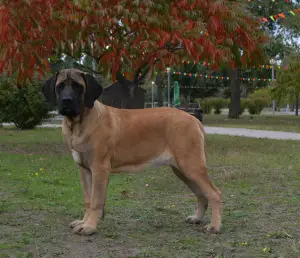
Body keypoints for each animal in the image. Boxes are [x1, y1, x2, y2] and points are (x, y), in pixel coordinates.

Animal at [41, 68, 221, 236]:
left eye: (78, 86)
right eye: (60, 86)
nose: (67, 100)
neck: (79, 124)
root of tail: (194, 119)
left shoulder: (99, 168)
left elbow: (96, 200)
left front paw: (89, 226)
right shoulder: (84, 169)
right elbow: (88, 199)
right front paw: (83, 221)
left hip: (191, 166)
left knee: (214, 193)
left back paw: (214, 226)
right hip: (182, 170)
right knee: (201, 194)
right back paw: (197, 218)